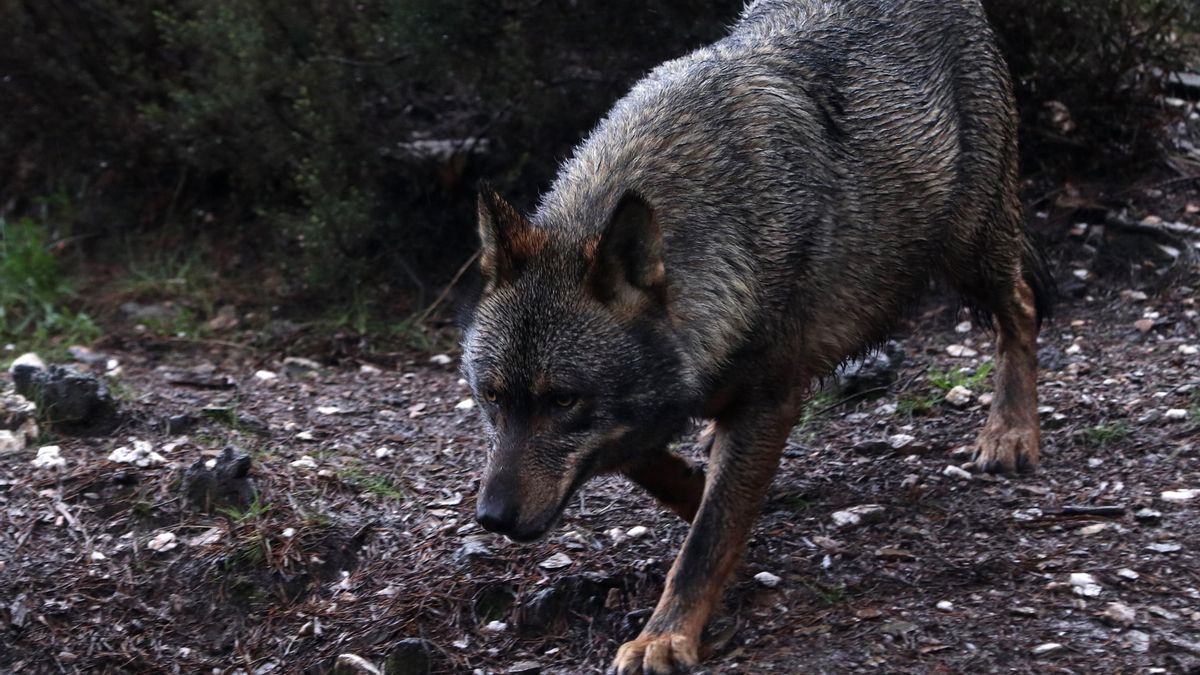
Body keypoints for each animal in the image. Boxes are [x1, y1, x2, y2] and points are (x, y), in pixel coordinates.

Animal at [460, 0, 1051, 671]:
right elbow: (660, 468)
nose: (492, 518)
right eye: (491, 397)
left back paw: (1010, 433)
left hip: (969, 247)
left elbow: (706, 538)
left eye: (562, 400)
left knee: (1022, 310)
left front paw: (665, 637)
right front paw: (706, 492)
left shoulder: (770, 400)